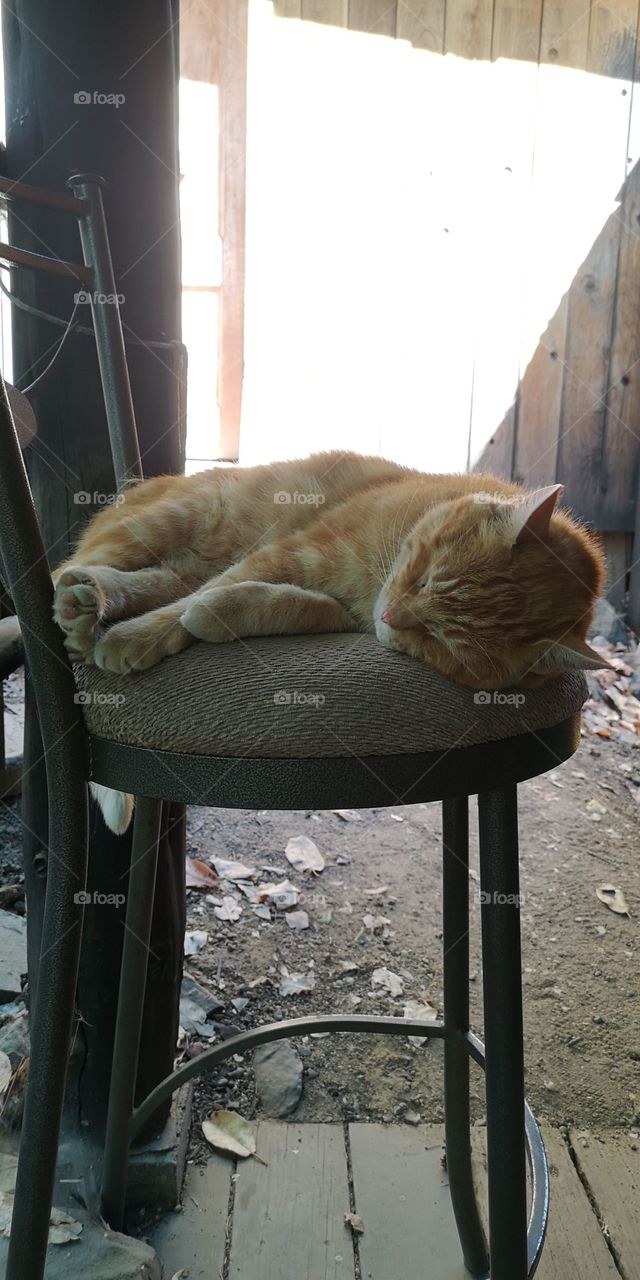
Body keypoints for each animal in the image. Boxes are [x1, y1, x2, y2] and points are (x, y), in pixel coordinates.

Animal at [53, 450, 604, 829]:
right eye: (426, 578)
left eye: (446, 643)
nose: (392, 616)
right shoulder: (295, 553)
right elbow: (209, 595)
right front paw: (146, 633)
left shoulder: (332, 607)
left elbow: (268, 603)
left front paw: (216, 614)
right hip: (167, 521)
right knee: (69, 570)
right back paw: (86, 612)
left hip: (175, 560)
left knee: (153, 582)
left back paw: (89, 610)